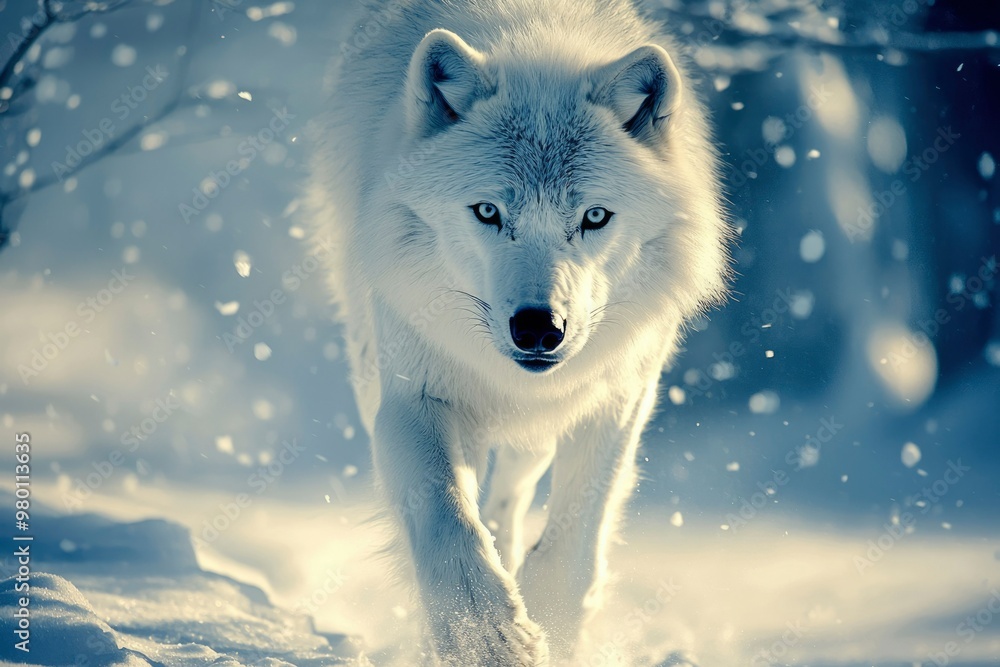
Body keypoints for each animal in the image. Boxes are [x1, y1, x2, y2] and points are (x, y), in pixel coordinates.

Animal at [306, 0, 730, 663]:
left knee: (512, 497)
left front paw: (552, 627)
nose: (538, 328)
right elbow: (445, 520)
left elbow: (573, 545)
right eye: (488, 211)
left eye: (594, 216)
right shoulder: (412, 399)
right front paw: (487, 639)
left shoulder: (619, 402)